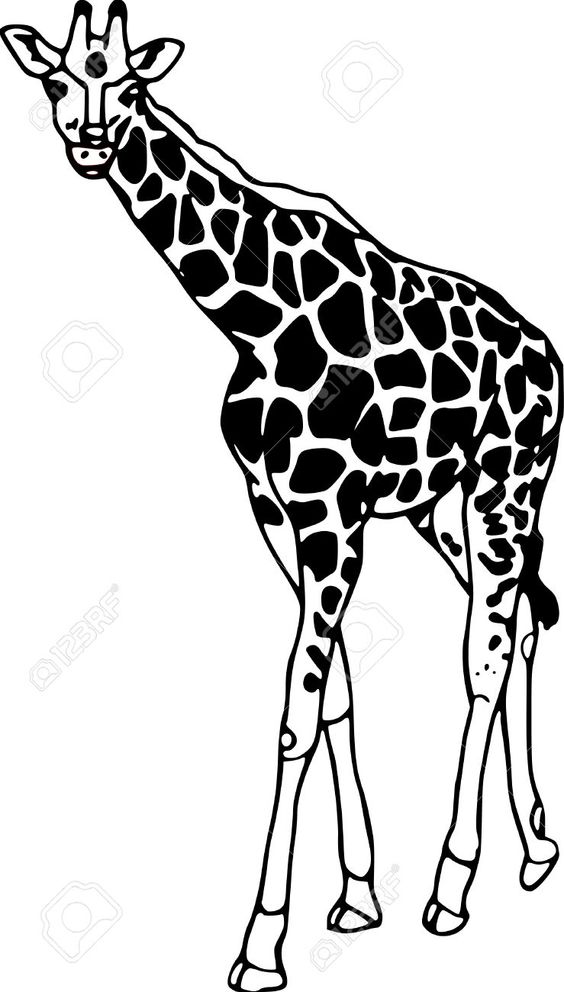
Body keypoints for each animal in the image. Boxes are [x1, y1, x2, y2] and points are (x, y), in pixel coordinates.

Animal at [2, 4, 561, 989]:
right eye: (57, 80)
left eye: (131, 86)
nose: (91, 142)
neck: (254, 319)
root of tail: (551, 357)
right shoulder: (279, 512)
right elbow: (333, 696)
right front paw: (357, 897)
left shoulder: (333, 518)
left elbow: (294, 717)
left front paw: (260, 947)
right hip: (440, 509)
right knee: (525, 619)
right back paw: (534, 852)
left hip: (508, 487)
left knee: (486, 654)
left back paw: (454, 887)